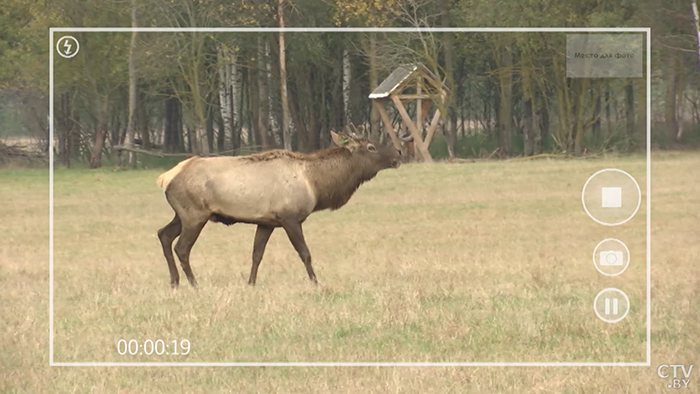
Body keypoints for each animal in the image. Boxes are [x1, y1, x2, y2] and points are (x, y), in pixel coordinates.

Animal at [156, 127, 402, 288]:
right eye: (371, 147)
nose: (398, 154)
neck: (316, 185)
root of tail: (166, 178)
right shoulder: (290, 218)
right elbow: (305, 253)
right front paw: (316, 283)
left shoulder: (267, 222)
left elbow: (256, 254)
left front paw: (251, 283)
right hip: (195, 214)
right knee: (181, 247)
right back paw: (194, 284)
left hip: (182, 214)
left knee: (163, 234)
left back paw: (174, 282)